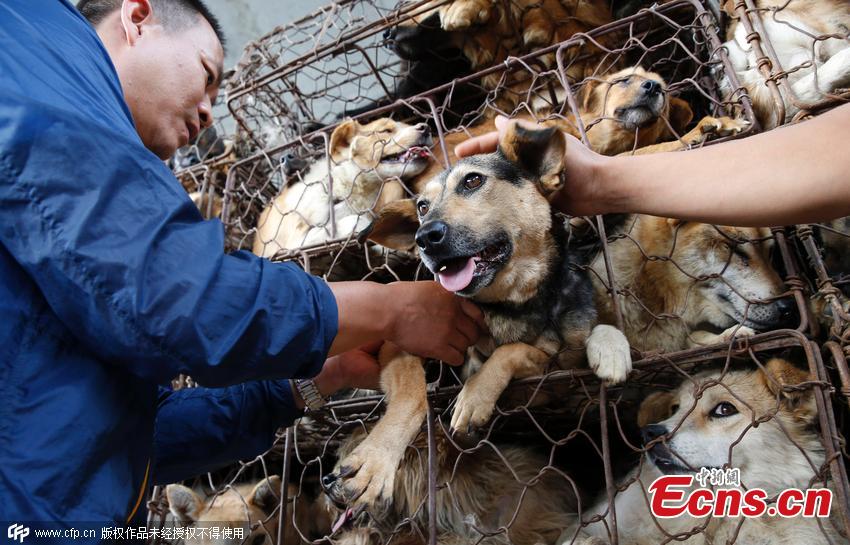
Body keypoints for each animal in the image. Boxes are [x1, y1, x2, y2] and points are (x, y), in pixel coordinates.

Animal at [320, 122, 633, 519]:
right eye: (422, 206)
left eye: (472, 181)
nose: (425, 237)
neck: (507, 303)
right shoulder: (405, 339)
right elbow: (412, 395)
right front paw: (375, 461)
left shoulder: (561, 370)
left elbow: (516, 351)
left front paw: (475, 394)